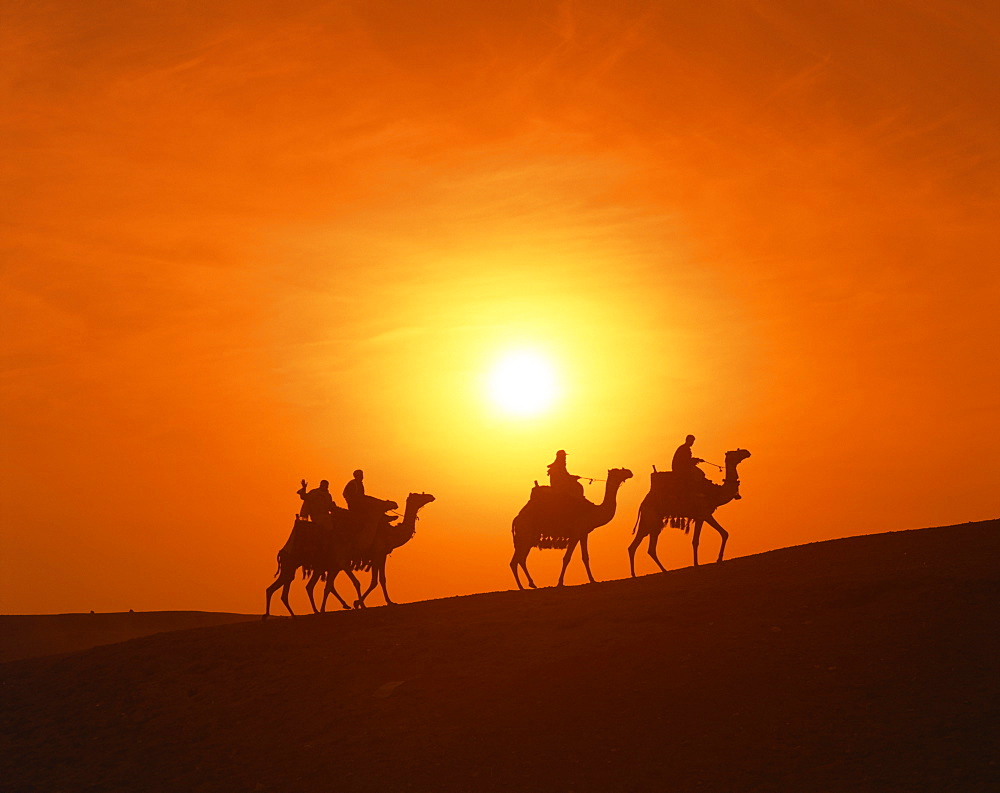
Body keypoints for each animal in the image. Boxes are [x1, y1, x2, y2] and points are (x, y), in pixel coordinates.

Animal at [624, 446, 752, 576]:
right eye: (735, 452)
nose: (747, 452)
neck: (715, 492)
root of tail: (643, 503)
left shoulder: (702, 516)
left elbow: (719, 534)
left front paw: (716, 560)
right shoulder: (704, 514)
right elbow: (701, 540)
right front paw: (700, 564)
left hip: (650, 522)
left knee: (640, 547)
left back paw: (650, 573)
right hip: (651, 519)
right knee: (643, 547)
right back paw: (648, 573)